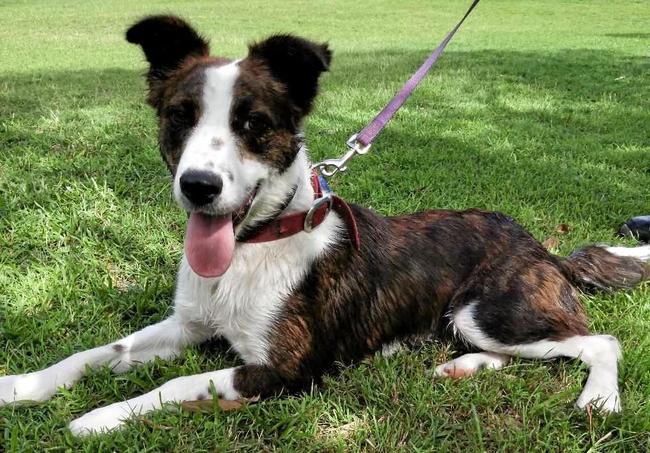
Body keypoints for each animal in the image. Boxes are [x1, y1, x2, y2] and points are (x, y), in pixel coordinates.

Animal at [1, 16, 648, 434]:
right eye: (179, 117)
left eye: (254, 124)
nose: (198, 186)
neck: (255, 246)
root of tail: (539, 245)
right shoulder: (189, 324)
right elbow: (97, 352)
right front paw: (22, 387)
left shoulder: (287, 370)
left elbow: (176, 386)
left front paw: (97, 417)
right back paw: (461, 365)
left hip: (488, 308)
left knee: (598, 341)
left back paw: (599, 399)